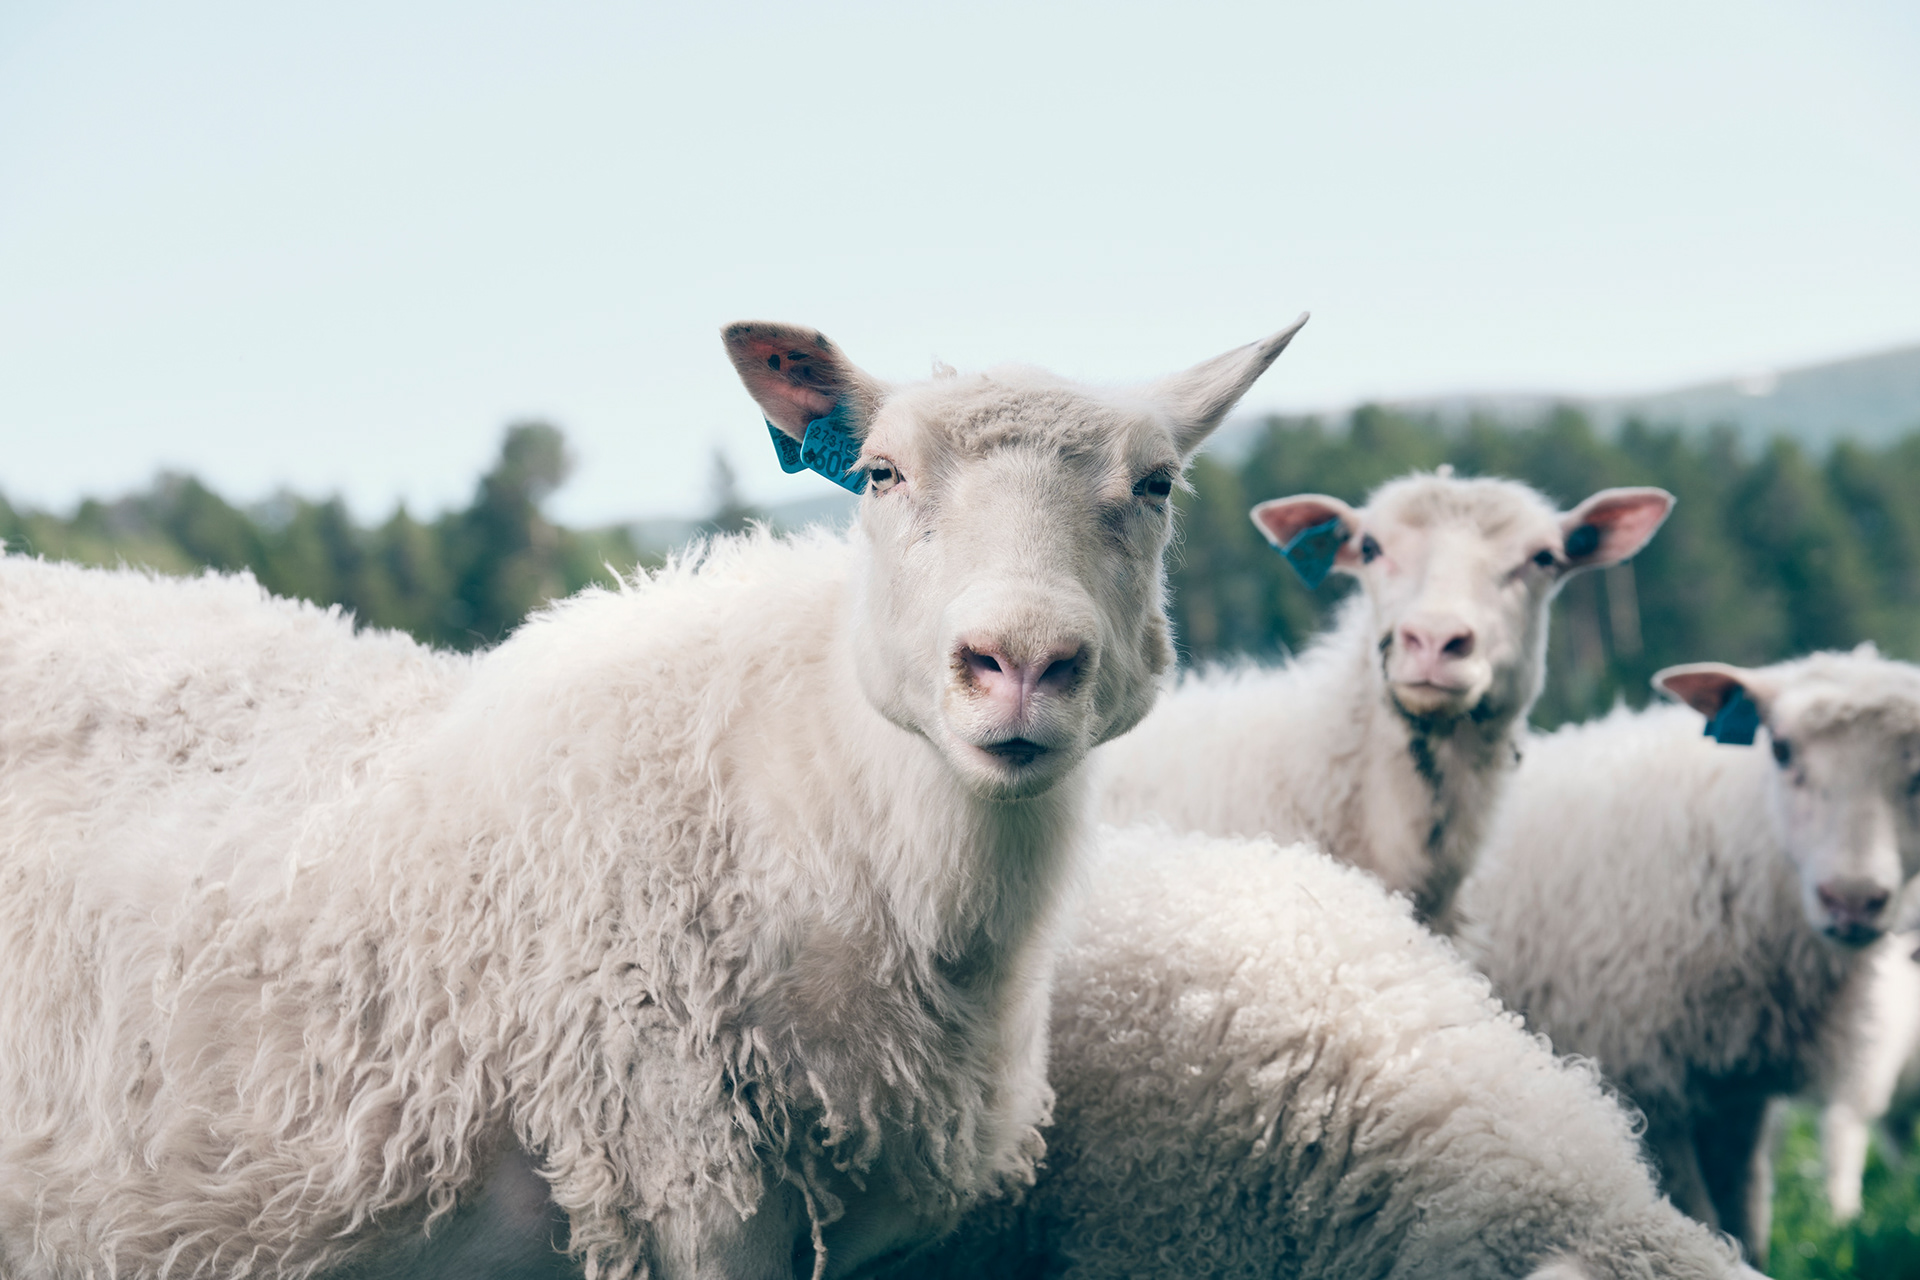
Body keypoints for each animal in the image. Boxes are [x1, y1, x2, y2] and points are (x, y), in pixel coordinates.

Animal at [1456, 647, 1920, 1267]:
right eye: (1780, 749)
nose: (1851, 900)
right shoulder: (1646, 1082)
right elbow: (1698, 1217)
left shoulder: (1737, 1097)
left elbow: (1747, 1225)